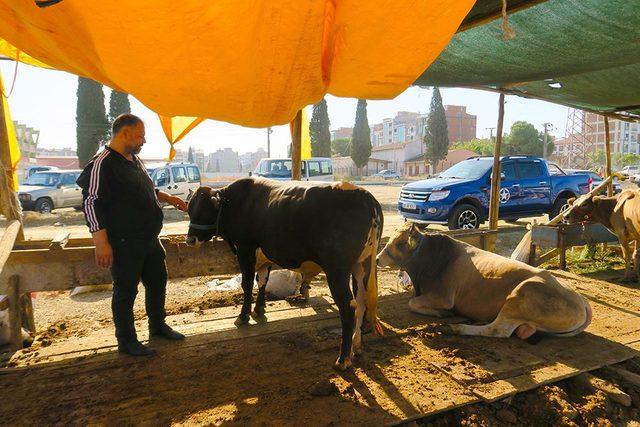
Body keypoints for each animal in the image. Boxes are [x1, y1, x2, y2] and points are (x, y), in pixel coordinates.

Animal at [188, 178, 382, 372]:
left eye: (204, 210)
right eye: (189, 210)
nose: (190, 240)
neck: (236, 201)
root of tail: (364, 195)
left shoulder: (245, 247)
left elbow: (248, 283)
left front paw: (243, 316)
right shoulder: (263, 256)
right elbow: (262, 280)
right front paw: (259, 309)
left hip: (337, 269)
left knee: (348, 307)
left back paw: (342, 360)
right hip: (362, 265)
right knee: (361, 302)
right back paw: (357, 346)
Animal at [378, 224, 592, 342]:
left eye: (399, 243)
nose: (378, 258)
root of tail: (582, 301)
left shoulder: (443, 297)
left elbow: (412, 303)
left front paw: (442, 314)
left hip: (521, 295)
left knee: (498, 330)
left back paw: (456, 328)